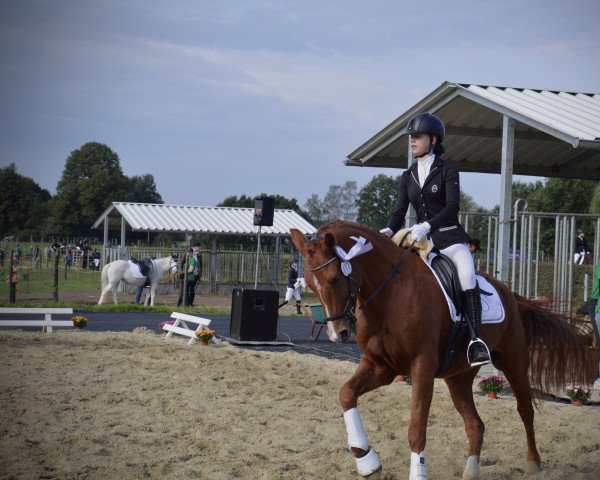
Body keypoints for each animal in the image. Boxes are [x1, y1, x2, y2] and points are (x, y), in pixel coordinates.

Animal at [290, 222, 596, 480]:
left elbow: (416, 429)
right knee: (475, 424)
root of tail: (509, 293)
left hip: (514, 362)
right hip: (458, 377)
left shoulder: (422, 367)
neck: (390, 294)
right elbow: (346, 394)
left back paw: (533, 462)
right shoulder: (381, 366)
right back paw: (471, 472)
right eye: (309, 283)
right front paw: (367, 460)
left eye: (335, 279)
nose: (338, 333)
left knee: (525, 409)